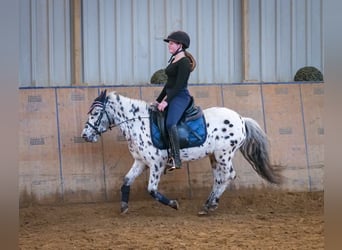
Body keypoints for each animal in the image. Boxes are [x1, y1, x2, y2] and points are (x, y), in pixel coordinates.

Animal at [81, 89, 282, 215]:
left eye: (96, 113)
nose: (85, 135)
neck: (139, 123)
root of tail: (241, 119)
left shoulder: (156, 164)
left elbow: (151, 189)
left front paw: (173, 204)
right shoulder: (140, 162)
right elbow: (126, 181)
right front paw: (123, 207)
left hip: (224, 154)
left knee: (229, 176)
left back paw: (211, 205)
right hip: (214, 156)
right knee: (219, 178)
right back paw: (208, 204)